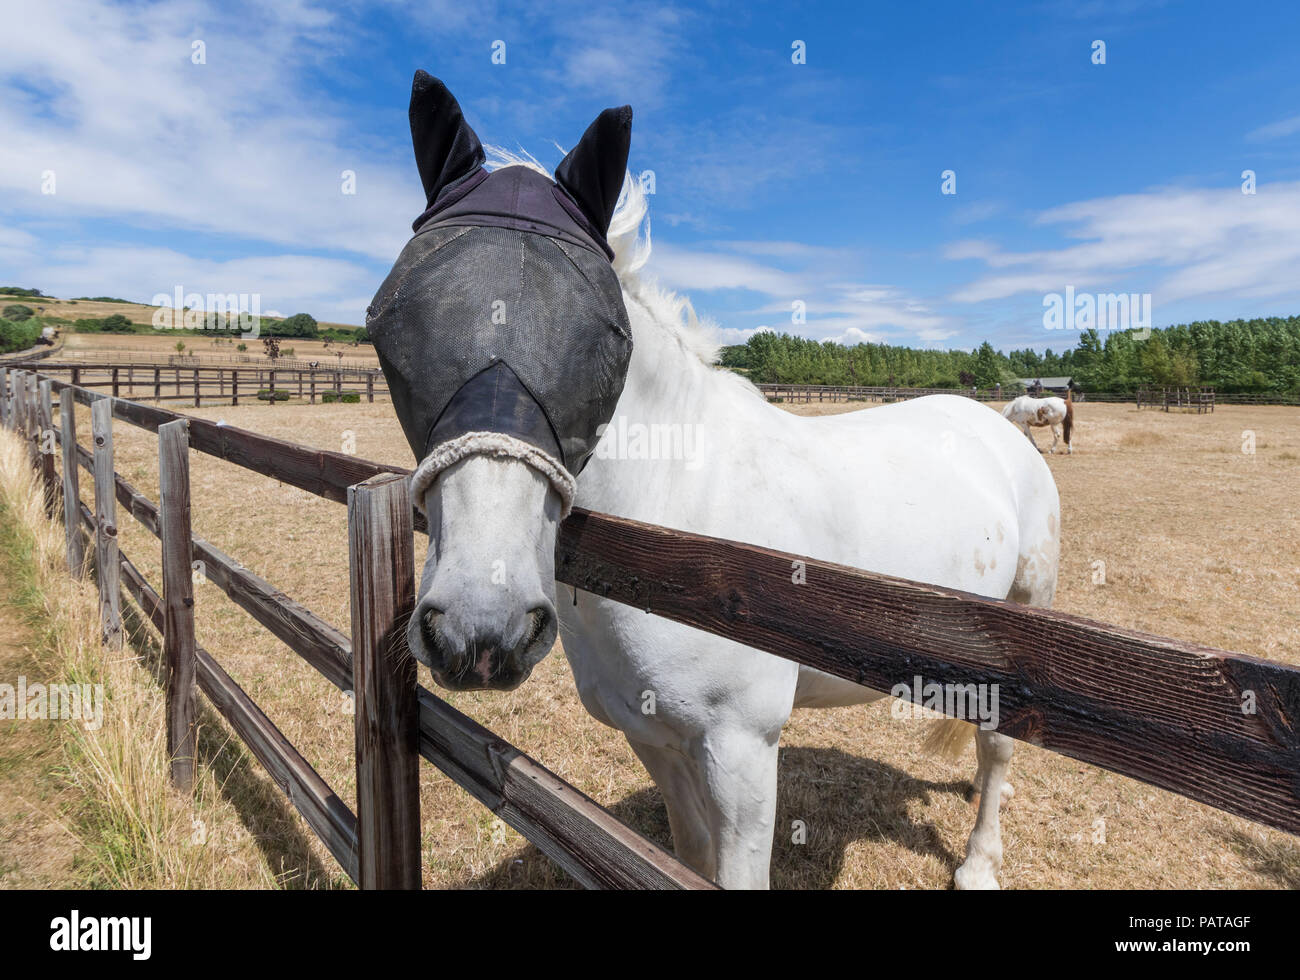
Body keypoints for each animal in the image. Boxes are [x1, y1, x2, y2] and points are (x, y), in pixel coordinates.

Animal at [410, 167, 1060, 883]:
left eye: (590, 337)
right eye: (404, 319)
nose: (477, 627)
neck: (675, 518)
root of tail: (1003, 426)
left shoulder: (741, 750)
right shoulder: (652, 736)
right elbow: (689, 855)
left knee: (998, 749)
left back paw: (977, 864)